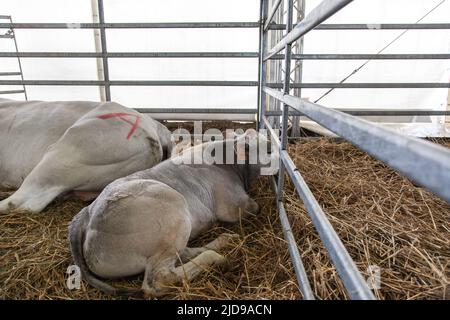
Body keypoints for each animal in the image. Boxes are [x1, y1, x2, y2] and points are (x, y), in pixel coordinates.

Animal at [68, 129, 278, 298]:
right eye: (268, 149)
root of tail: (87, 213)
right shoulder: (232, 205)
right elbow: (255, 207)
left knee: (182, 253)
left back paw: (225, 240)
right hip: (173, 214)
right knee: (159, 280)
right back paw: (216, 258)